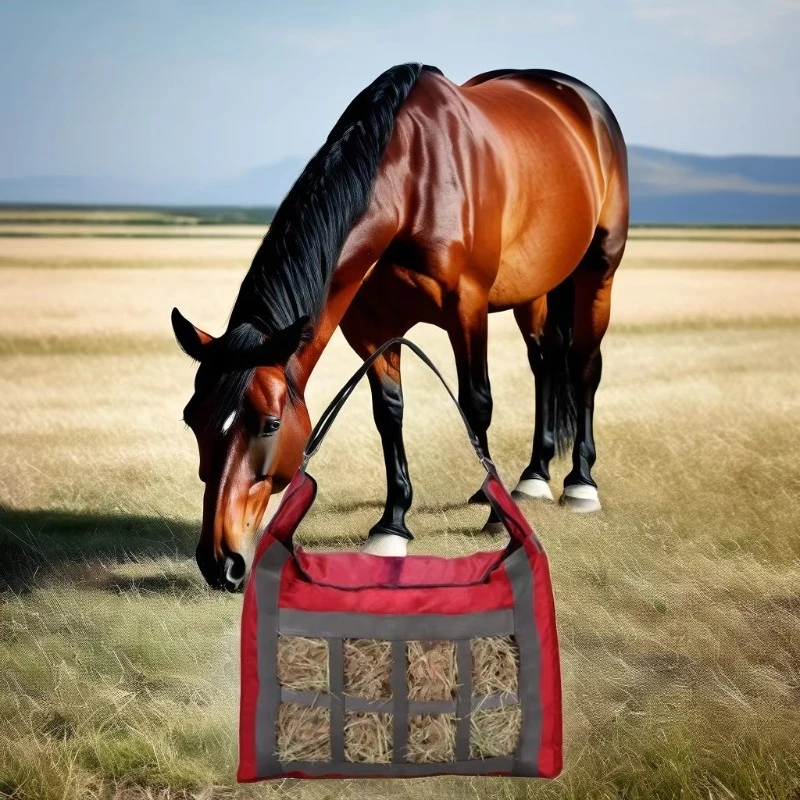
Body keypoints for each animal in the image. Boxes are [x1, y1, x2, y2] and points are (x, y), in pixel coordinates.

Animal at [172, 63, 629, 591]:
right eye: (192, 420)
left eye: (269, 424)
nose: (219, 561)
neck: (412, 182)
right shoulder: (372, 327)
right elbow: (389, 413)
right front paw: (392, 525)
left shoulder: (467, 310)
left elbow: (477, 404)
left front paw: (498, 519)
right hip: (533, 288)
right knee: (545, 362)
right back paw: (530, 476)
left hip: (599, 272)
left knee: (583, 366)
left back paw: (579, 483)